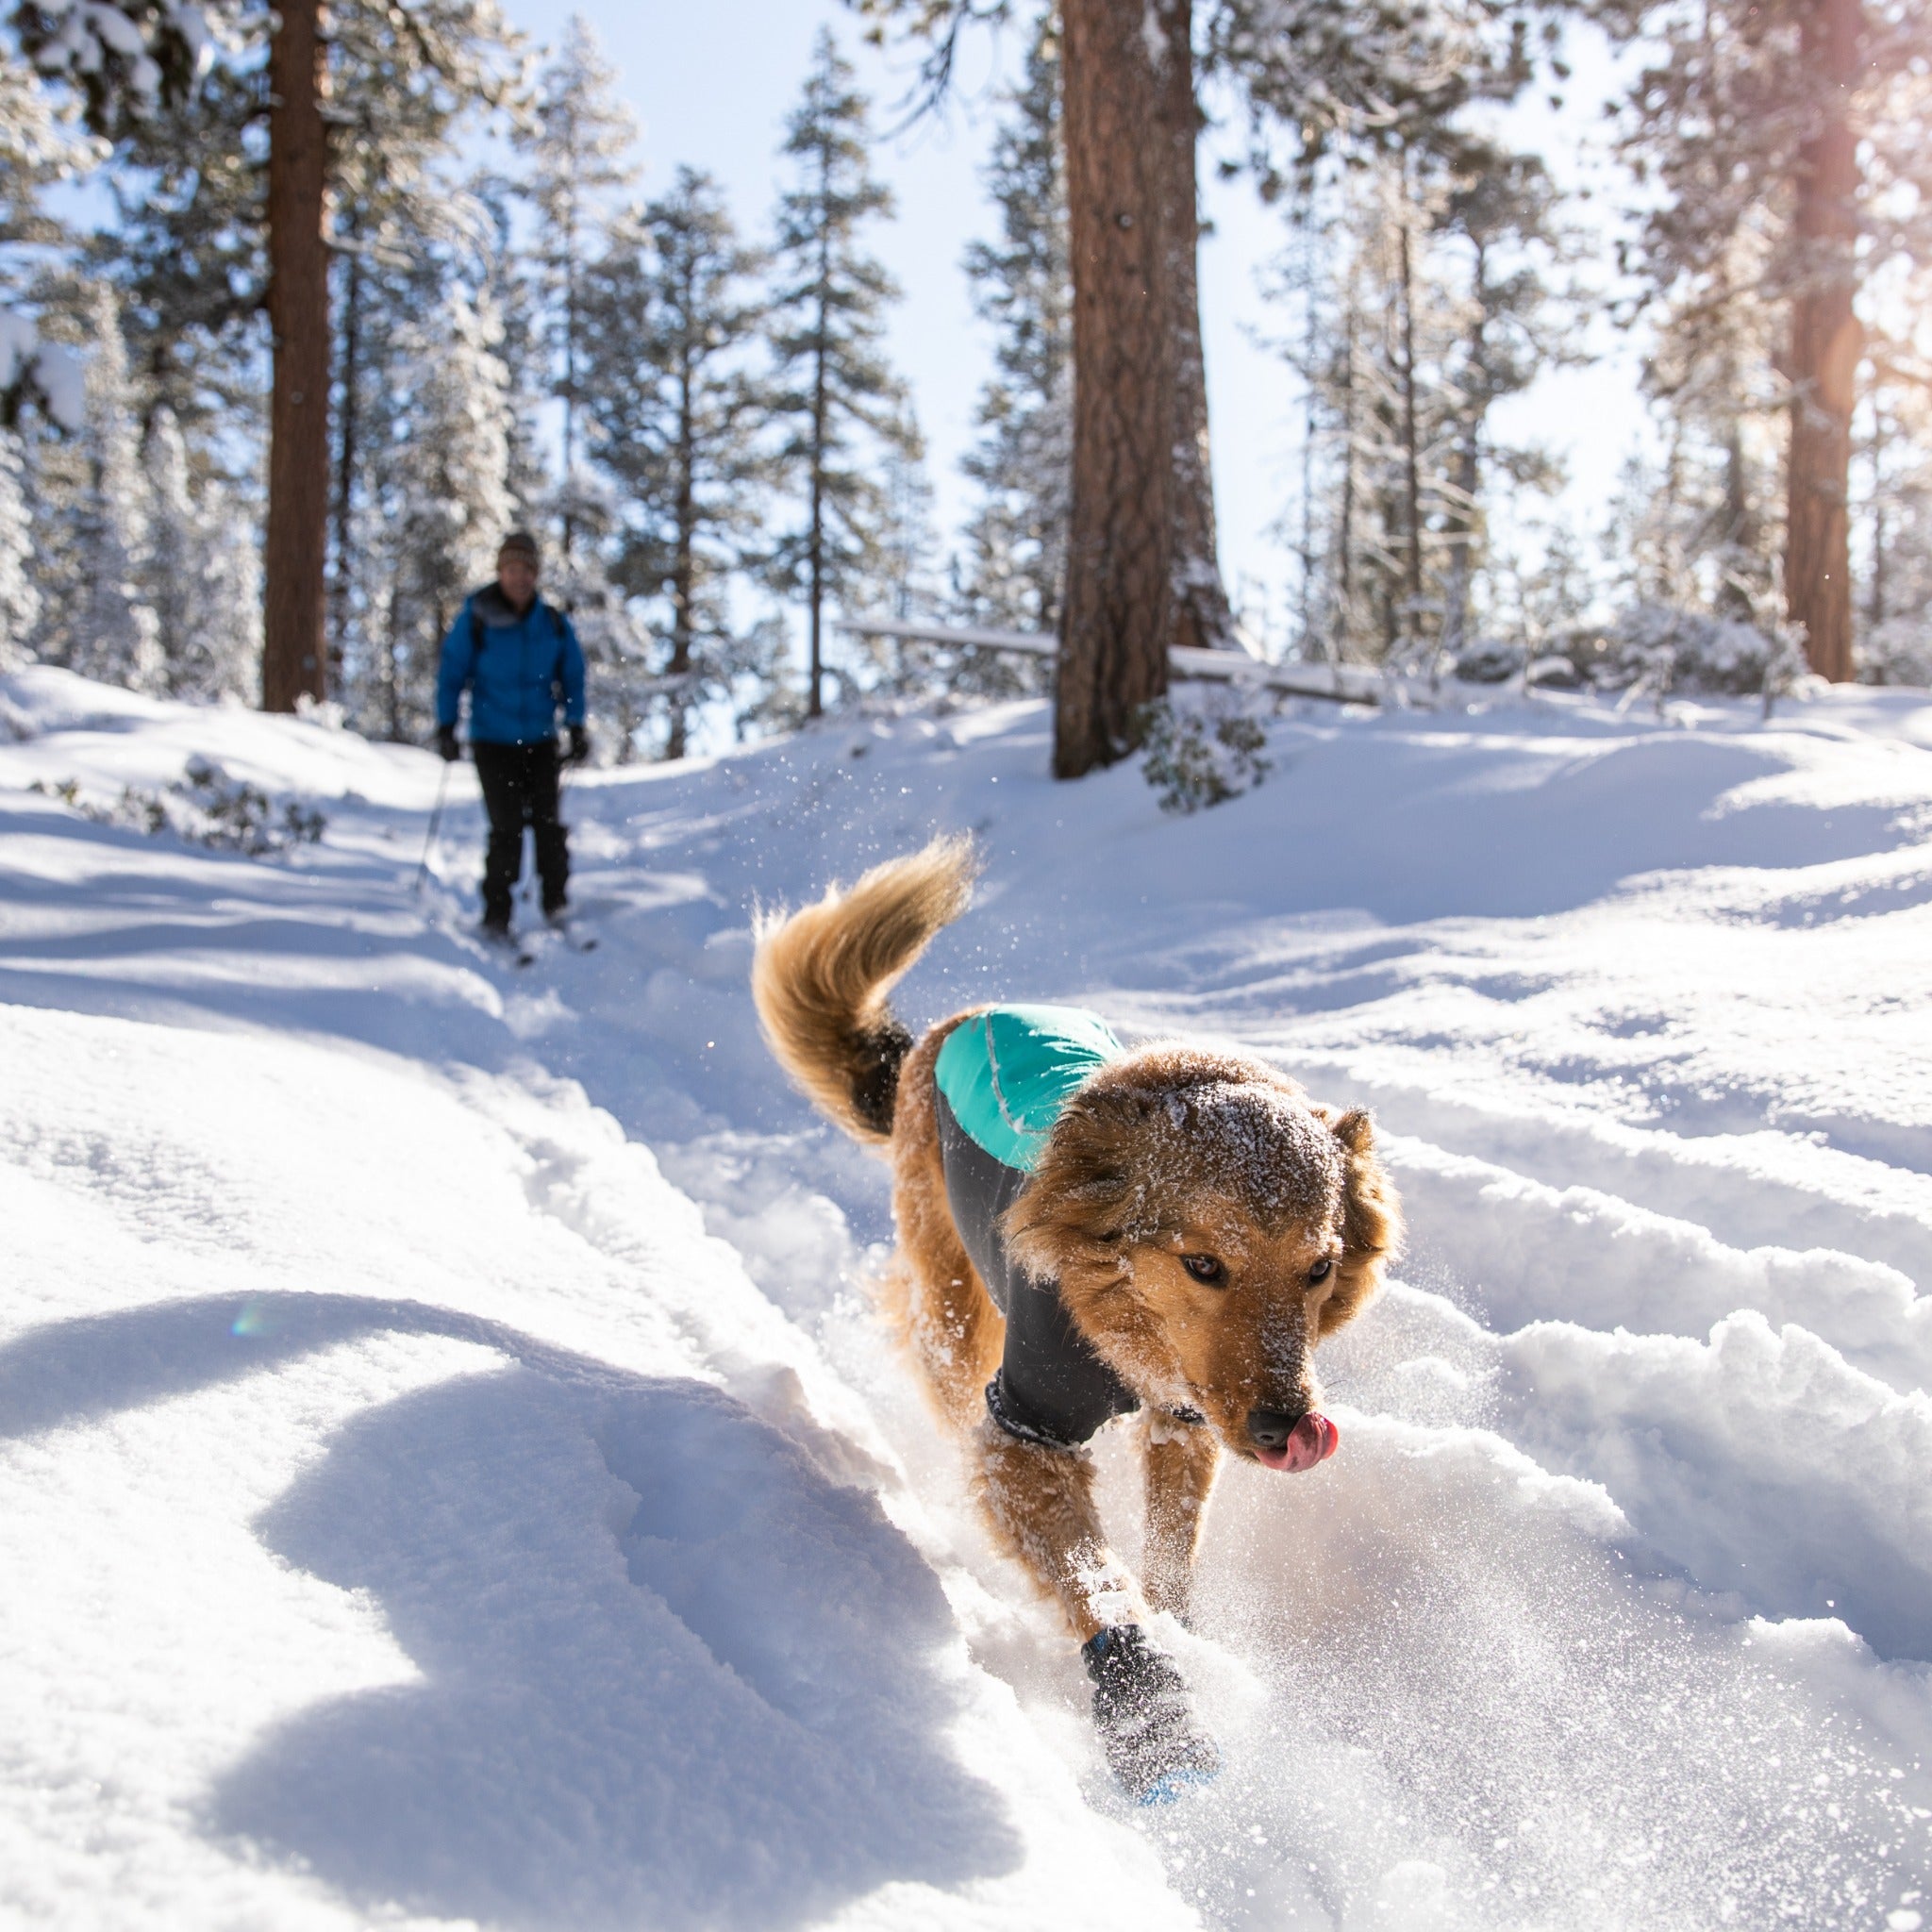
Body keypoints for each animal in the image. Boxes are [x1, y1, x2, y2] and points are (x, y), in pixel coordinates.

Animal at [745, 838, 1398, 1800]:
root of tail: (954, 1023)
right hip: (953, 1309)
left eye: (1318, 1268)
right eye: (1204, 1265)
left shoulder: (1183, 1418)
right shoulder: (1024, 1432)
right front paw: (1156, 1721)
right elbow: (1097, 1581)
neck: (1120, 1326)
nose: (1289, 1429)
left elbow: (1166, 1562)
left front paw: (1185, 1646)